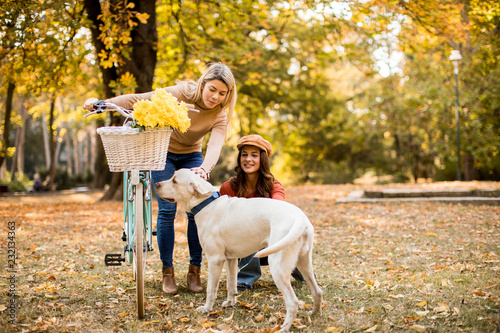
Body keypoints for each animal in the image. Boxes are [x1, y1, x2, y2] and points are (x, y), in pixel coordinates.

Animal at [154, 170, 322, 330]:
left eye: (175, 180)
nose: (156, 184)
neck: (205, 203)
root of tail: (300, 218)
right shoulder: (231, 259)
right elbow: (231, 284)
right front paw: (230, 302)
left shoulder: (215, 260)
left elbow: (211, 289)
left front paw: (207, 309)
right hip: (304, 264)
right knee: (317, 291)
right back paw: (313, 313)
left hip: (278, 267)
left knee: (293, 302)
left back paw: (284, 328)